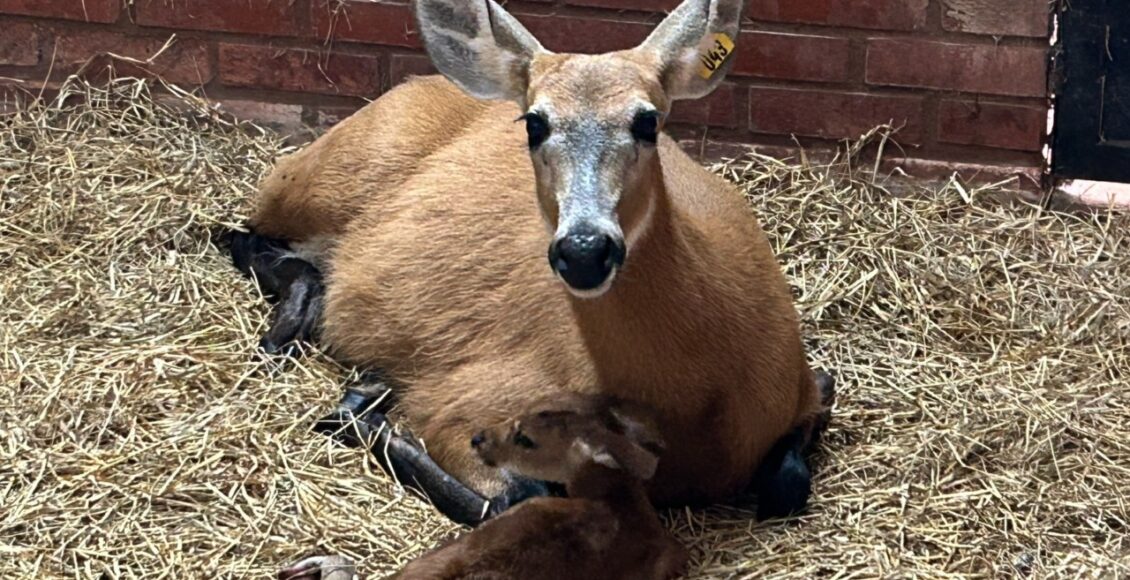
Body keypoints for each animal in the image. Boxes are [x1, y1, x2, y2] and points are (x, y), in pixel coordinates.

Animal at [229, 0, 836, 526]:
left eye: (647, 121)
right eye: (535, 123)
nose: (584, 250)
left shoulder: (808, 387)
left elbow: (789, 480)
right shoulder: (463, 402)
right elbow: (513, 497)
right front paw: (362, 405)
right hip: (316, 182)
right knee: (240, 232)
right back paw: (294, 339)